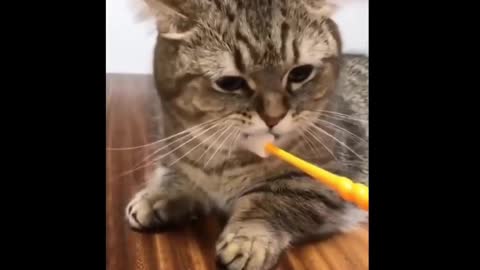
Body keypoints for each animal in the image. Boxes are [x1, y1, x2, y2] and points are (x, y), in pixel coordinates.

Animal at [125, 1, 370, 268]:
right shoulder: (178, 153)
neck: (224, 162)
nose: (274, 117)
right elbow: (175, 174)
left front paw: (250, 239)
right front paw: (156, 195)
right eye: (230, 83)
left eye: (300, 73)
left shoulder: (317, 179)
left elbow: (267, 202)